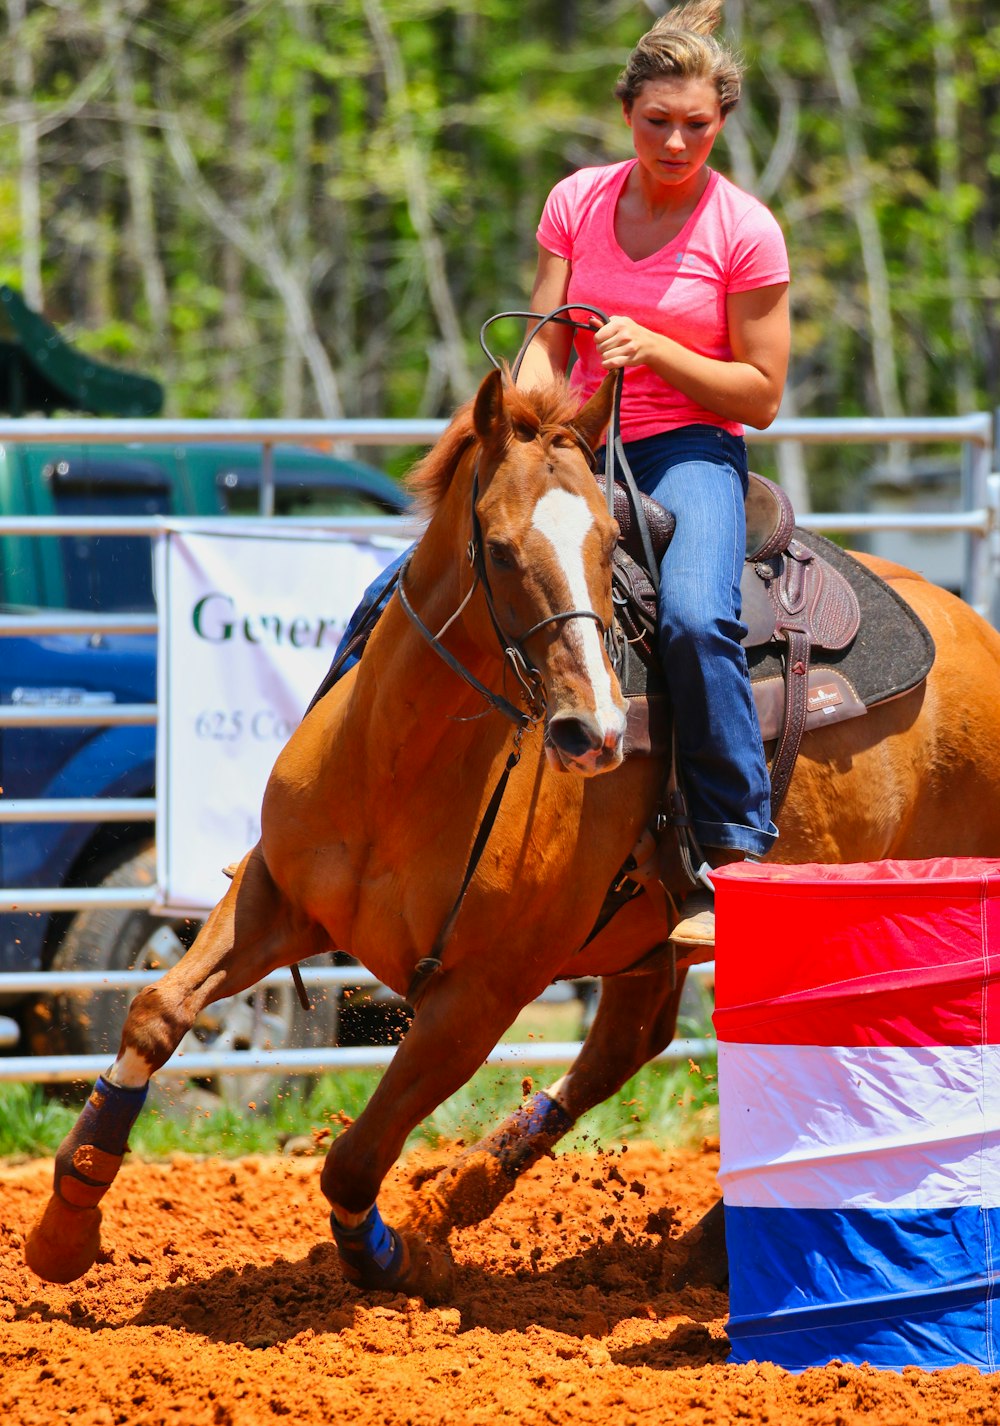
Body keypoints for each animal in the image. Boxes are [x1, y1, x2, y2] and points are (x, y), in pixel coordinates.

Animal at [23, 365, 998, 1294]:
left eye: (608, 546)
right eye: (497, 547)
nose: (595, 732)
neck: (401, 768)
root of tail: (973, 630)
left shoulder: (482, 995)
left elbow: (355, 1158)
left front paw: (398, 1262)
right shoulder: (275, 894)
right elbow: (155, 1013)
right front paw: (65, 1228)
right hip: (653, 940)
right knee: (631, 1042)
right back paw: (484, 1195)